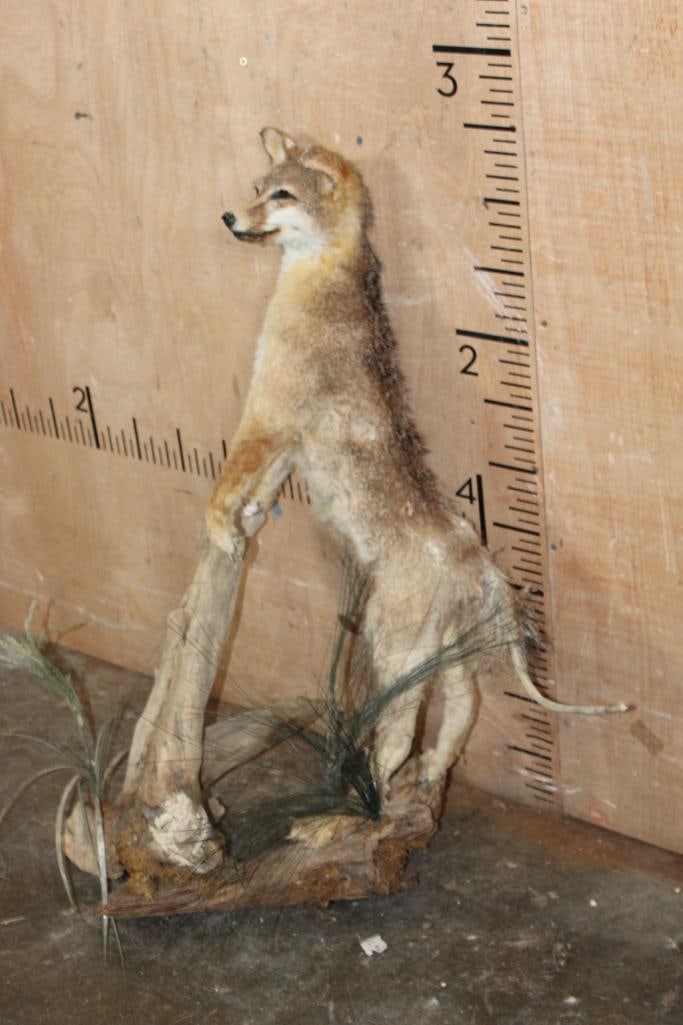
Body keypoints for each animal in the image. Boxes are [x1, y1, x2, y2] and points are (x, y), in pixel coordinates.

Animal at [207, 127, 628, 797]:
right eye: (257, 188)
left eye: (281, 195)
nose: (228, 217)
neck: (316, 283)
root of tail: (479, 563)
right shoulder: (285, 438)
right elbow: (258, 485)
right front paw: (246, 524)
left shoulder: (268, 414)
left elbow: (226, 481)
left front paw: (219, 530)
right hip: (441, 653)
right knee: (463, 707)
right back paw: (430, 774)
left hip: (396, 648)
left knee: (399, 731)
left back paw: (364, 798)